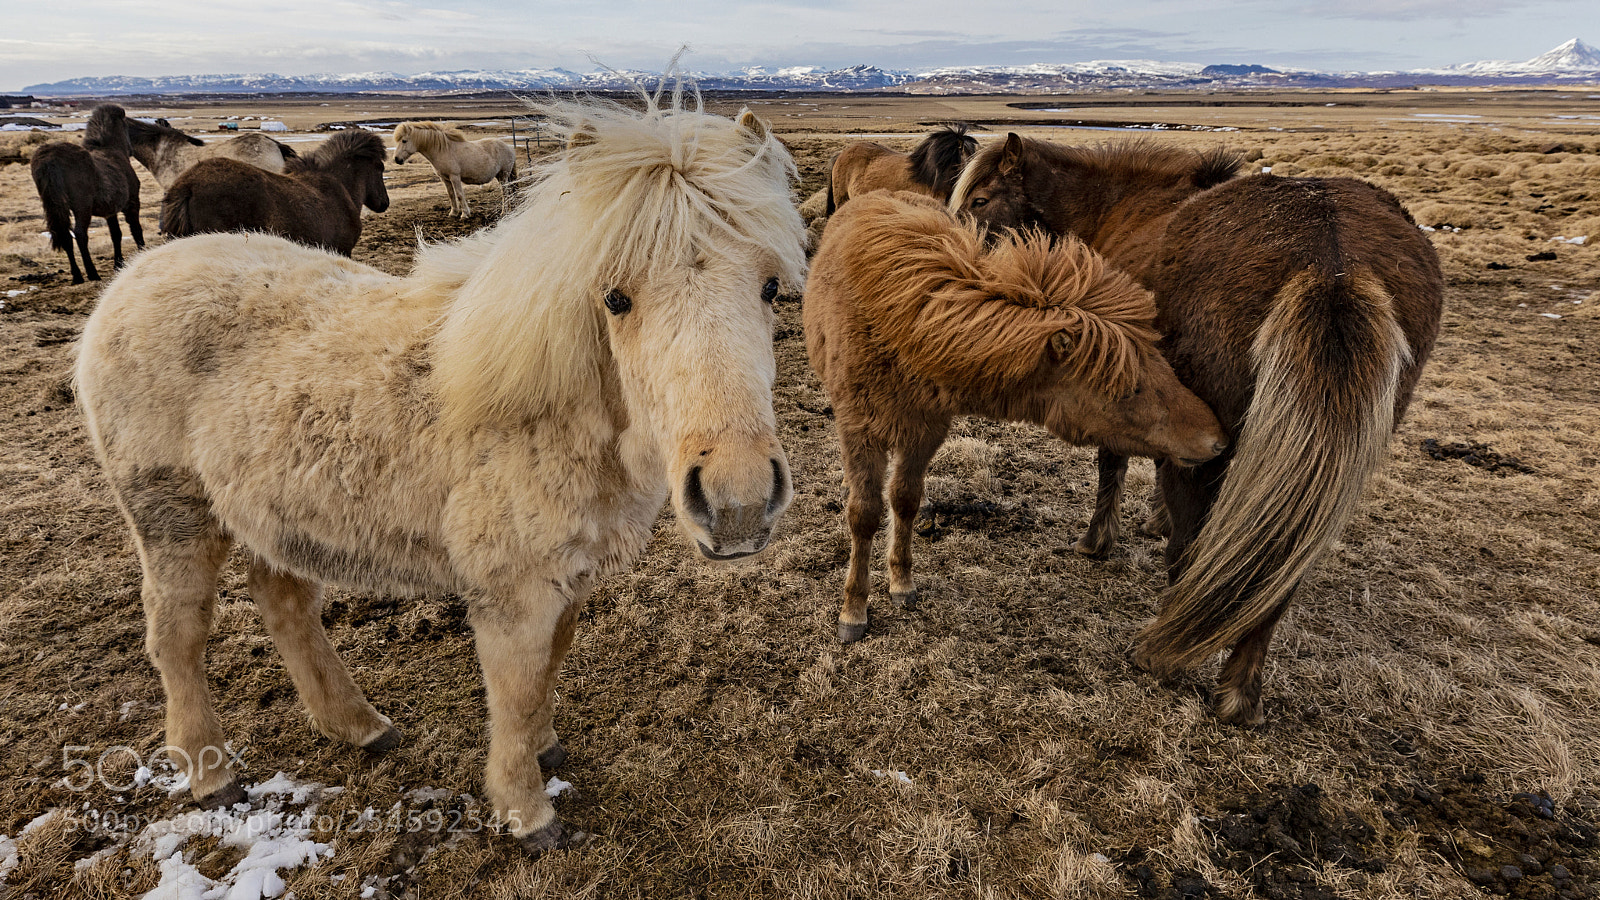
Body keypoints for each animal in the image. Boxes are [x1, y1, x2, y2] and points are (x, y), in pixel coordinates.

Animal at [29, 103, 145, 284]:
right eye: (126, 126)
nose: (131, 150)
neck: (110, 150)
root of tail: (49, 158)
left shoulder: (110, 211)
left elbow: (116, 234)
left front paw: (118, 264)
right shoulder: (132, 203)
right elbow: (136, 230)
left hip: (56, 207)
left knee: (66, 237)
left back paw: (77, 276)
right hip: (82, 208)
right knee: (80, 234)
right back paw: (92, 273)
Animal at [803, 190, 1228, 643]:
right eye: (1130, 388)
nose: (1217, 438)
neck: (900, 327)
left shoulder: (926, 430)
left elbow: (904, 499)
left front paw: (901, 582)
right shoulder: (858, 430)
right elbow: (864, 514)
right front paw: (854, 609)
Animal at [953, 135, 1444, 724]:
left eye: (980, 200)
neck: (1117, 205)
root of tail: (1333, 263)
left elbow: (1113, 460)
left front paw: (1097, 541)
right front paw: (1151, 520)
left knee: (1193, 554)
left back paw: (1160, 652)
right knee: (1276, 572)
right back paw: (1239, 694)